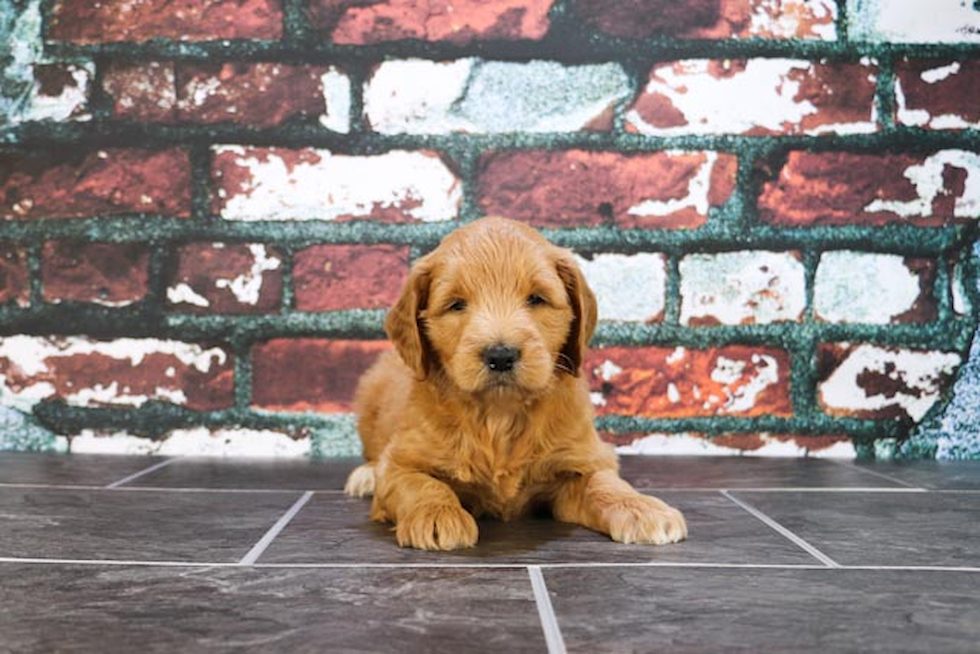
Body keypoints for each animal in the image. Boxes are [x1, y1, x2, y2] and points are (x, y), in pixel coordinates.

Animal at [346, 218, 688, 552]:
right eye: (456, 305)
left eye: (536, 298)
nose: (500, 355)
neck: (500, 414)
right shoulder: (402, 460)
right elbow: (418, 483)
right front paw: (437, 514)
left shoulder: (584, 457)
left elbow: (604, 482)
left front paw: (641, 508)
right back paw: (365, 476)